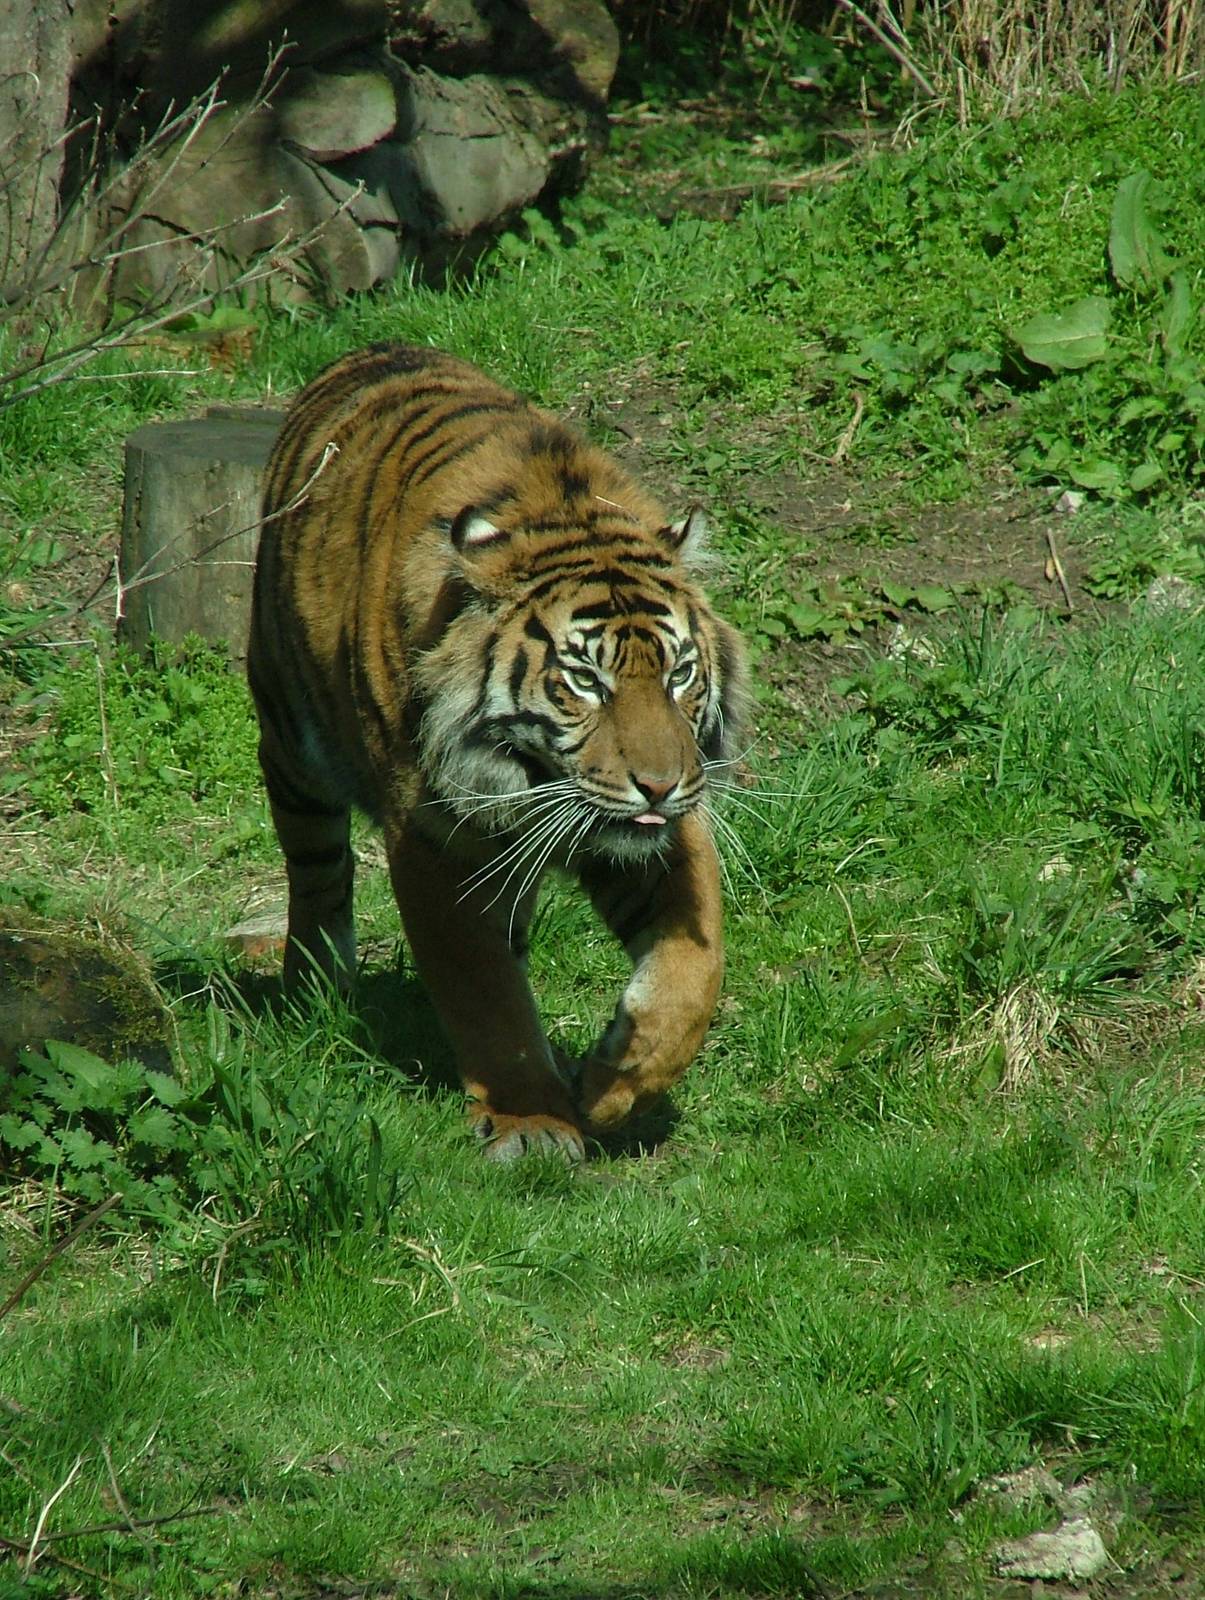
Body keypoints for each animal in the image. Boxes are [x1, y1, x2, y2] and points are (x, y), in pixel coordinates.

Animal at [247, 341, 748, 1161]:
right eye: (585, 681)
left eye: (678, 674)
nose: (660, 785)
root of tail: (371, 347)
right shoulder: (433, 837)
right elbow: (483, 991)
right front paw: (532, 1119)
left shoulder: (664, 833)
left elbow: (693, 968)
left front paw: (615, 1083)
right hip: (291, 738)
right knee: (318, 869)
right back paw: (316, 987)